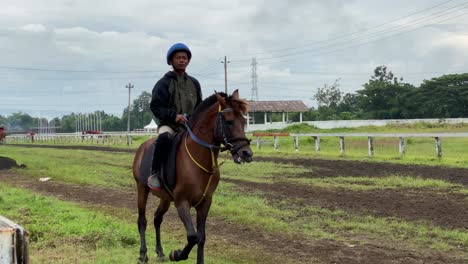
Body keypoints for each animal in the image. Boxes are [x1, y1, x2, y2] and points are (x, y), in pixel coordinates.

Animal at [133, 89, 254, 262]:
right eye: (229, 121)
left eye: (244, 121)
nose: (247, 154)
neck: (199, 159)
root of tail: (142, 147)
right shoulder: (182, 202)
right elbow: (192, 236)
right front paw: (176, 254)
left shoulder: (205, 203)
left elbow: (201, 238)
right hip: (142, 189)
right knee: (142, 220)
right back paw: (143, 254)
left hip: (165, 198)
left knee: (157, 219)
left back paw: (160, 252)